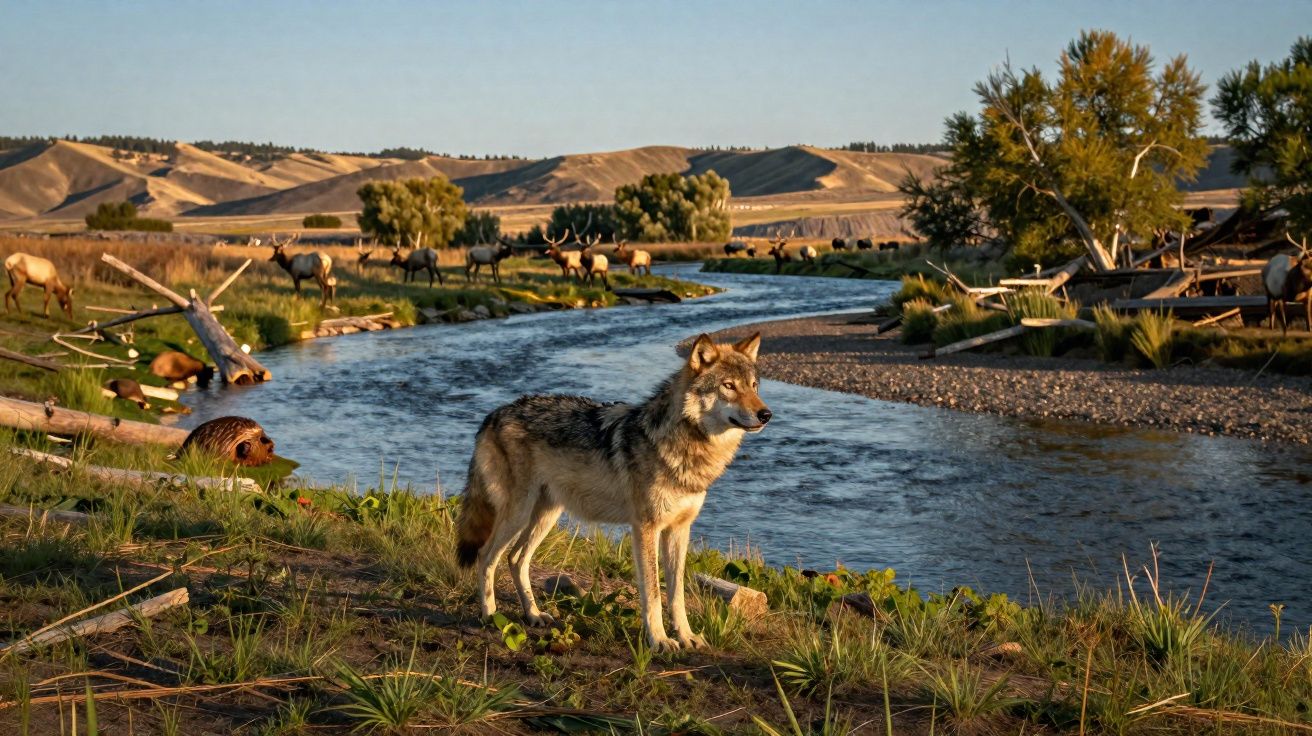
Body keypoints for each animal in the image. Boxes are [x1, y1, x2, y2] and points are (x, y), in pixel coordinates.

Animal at [456, 332, 770, 651]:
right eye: (728, 386)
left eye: (753, 386)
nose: (765, 414)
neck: (684, 446)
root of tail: (494, 414)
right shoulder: (646, 528)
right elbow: (653, 594)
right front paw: (659, 640)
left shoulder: (679, 529)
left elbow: (677, 594)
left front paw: (686, 635)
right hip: (518, 514)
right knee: (486, 556)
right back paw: (490, 615)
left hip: (547, 515)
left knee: (516, 559)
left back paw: (533, 615)